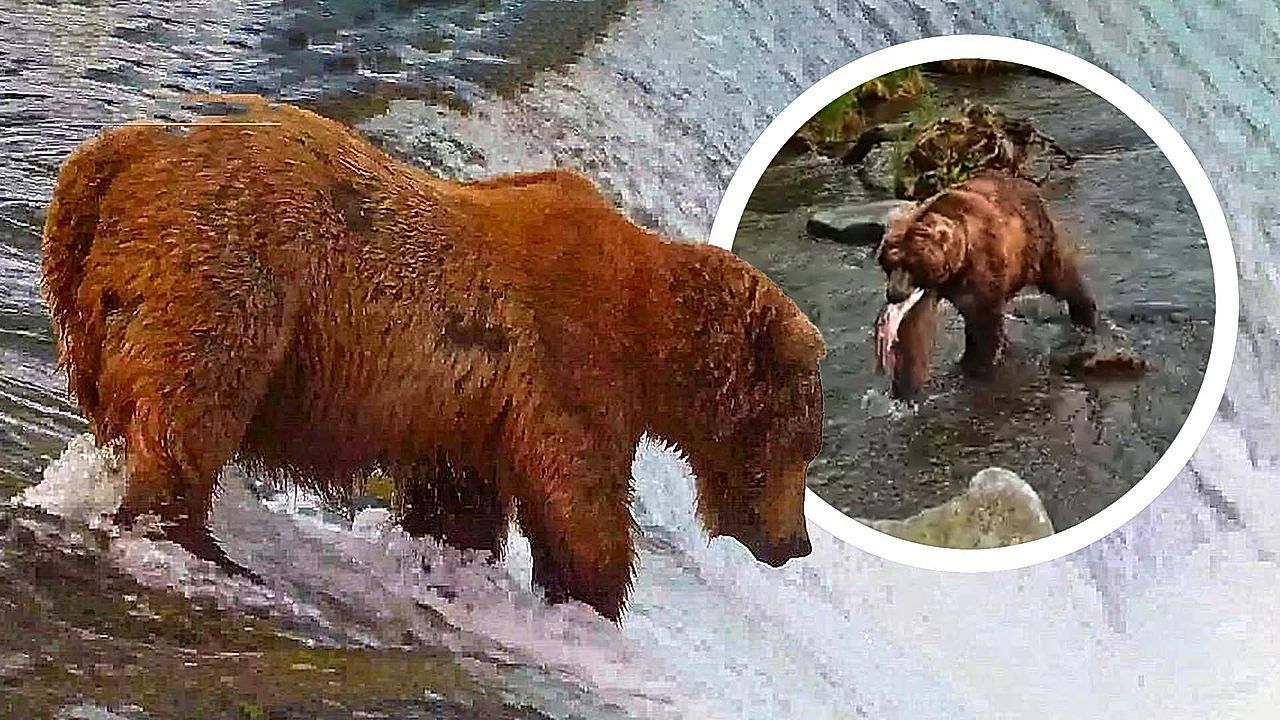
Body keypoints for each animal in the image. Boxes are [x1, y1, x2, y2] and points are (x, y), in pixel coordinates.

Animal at [40, 95, 825, 622]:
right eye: (800, 446)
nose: (798, 544)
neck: (654, 336)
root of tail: (122, 158)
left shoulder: (472, 413)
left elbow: (460, 503)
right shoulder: (571, 361)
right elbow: (581, 498)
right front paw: (594, 595)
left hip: (92, 301)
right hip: (234, 268)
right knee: (194, 406)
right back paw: (195, 540)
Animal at [873, 173, 1098, 399]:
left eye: (910, 265)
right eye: (888, 264)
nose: (894, 294)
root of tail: (1027, 184)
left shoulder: (980, 267)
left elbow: (984, 321)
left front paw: (979, 364)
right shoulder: (933, 288)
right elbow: (915, 331)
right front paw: (905, 385)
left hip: (1036, 243)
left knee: (1061, 278)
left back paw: (1085, 316)